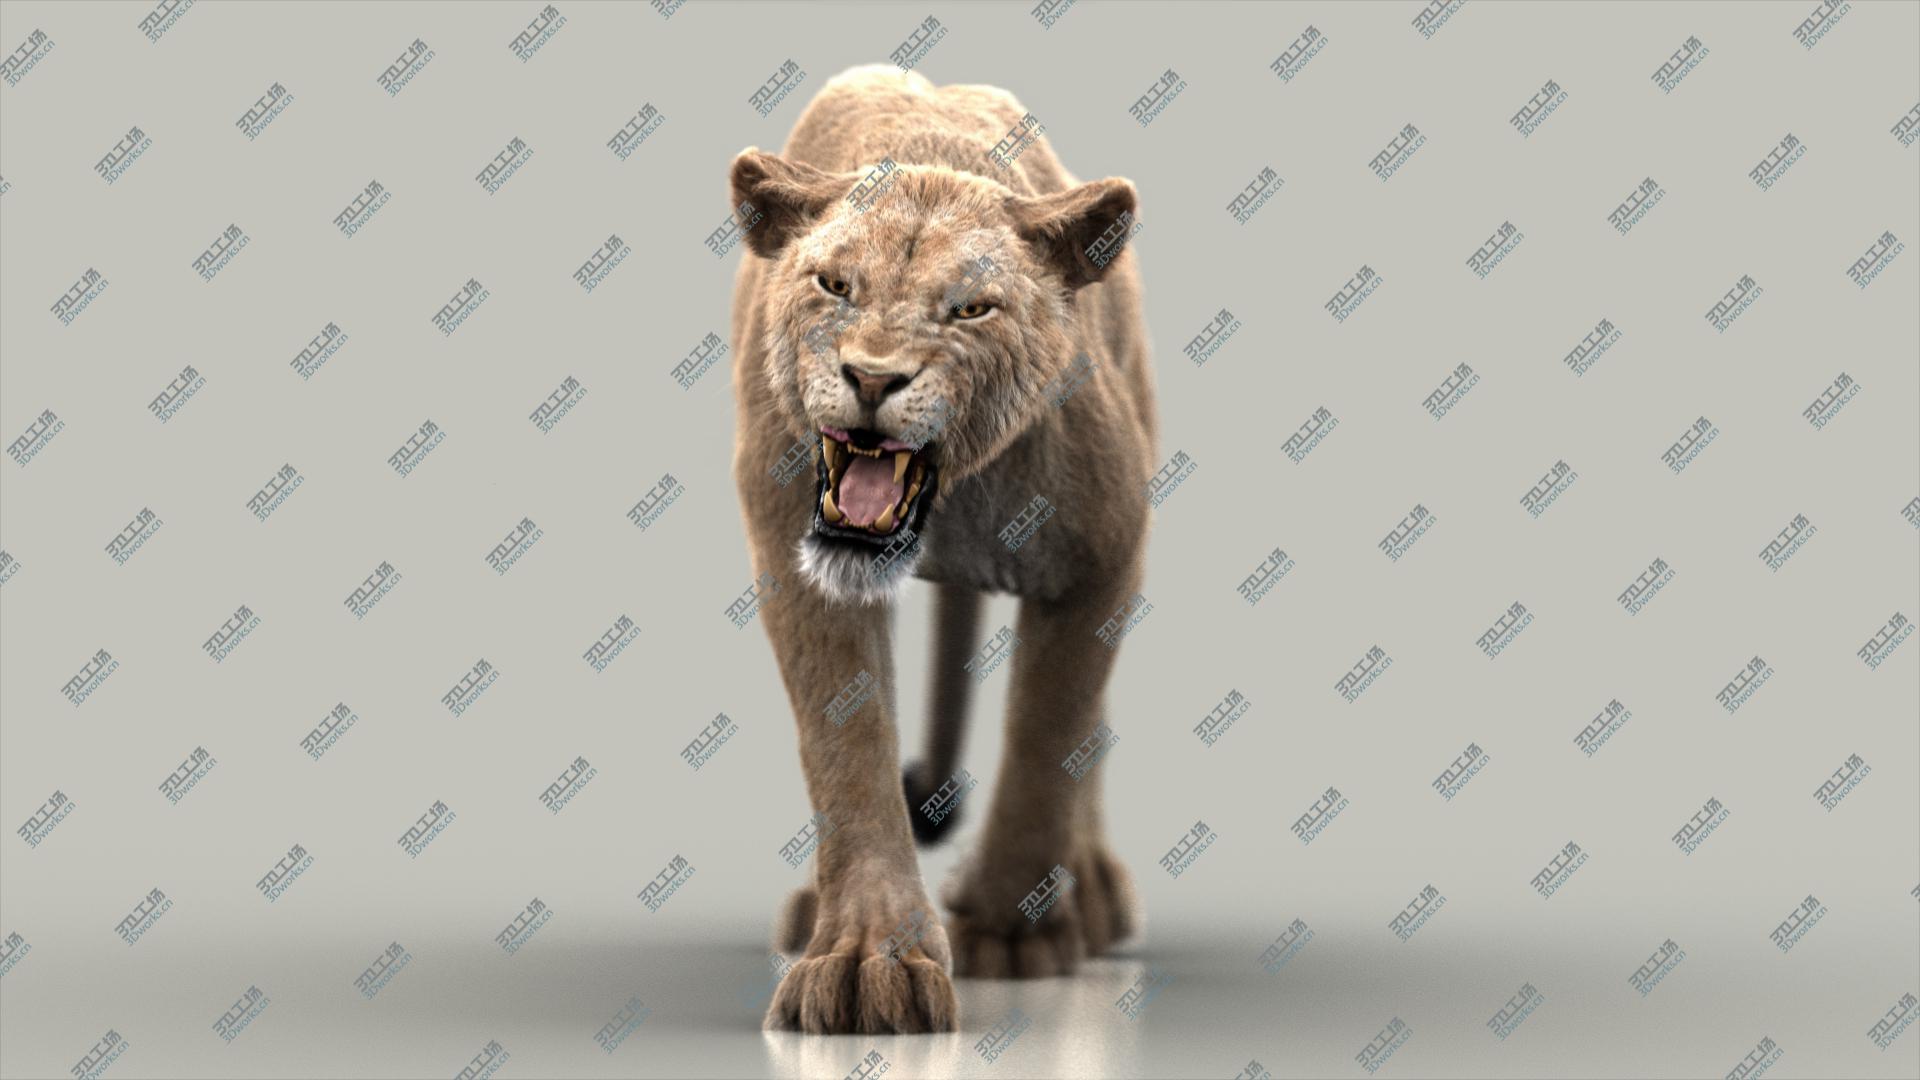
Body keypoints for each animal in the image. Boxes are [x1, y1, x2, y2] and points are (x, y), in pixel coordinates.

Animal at [728, 64, 1157, 1035]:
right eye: (834, 284)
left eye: (970, 309)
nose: (873, 378)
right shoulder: (797, 563)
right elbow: (846, 746)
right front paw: (862, 960)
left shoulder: (1107, 551)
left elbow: (1049, 732)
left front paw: (1008, 932)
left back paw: (1090, 898)